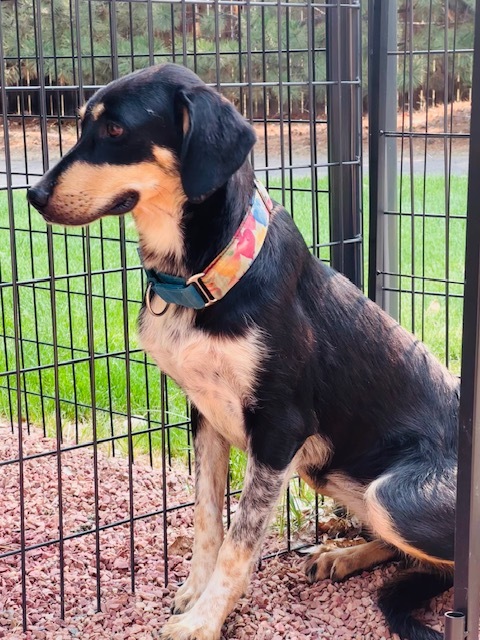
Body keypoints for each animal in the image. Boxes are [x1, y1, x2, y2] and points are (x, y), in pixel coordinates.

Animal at [28, 63, 460, 640]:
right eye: (81, 126)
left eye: (116, 130)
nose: (32, 194)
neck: (205, 272)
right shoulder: (204, 414)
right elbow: (208, 517)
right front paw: (193, 594)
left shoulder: (280, 428)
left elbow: (240, 541)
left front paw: (203, 622)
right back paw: (343, 556)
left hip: (393, 496)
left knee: (444, 567)